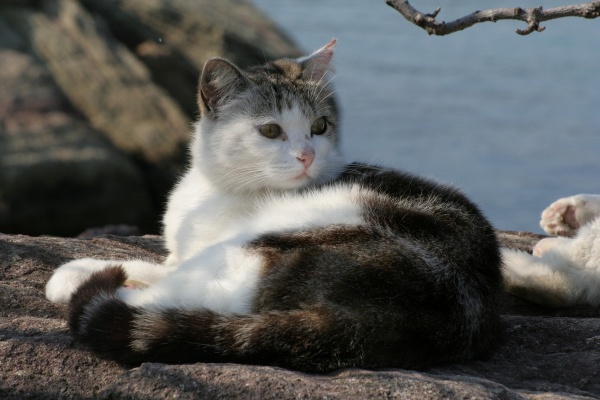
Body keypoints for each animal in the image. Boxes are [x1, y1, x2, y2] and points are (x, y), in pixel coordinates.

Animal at [44, 40, 502, 372]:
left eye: (319, 126)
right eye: (269, 131)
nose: (307, 156)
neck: (219, 189)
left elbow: (166, 274)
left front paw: (83, 273)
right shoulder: (182, 252)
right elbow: (163, 263)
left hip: (283, 235)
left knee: (196, 300)